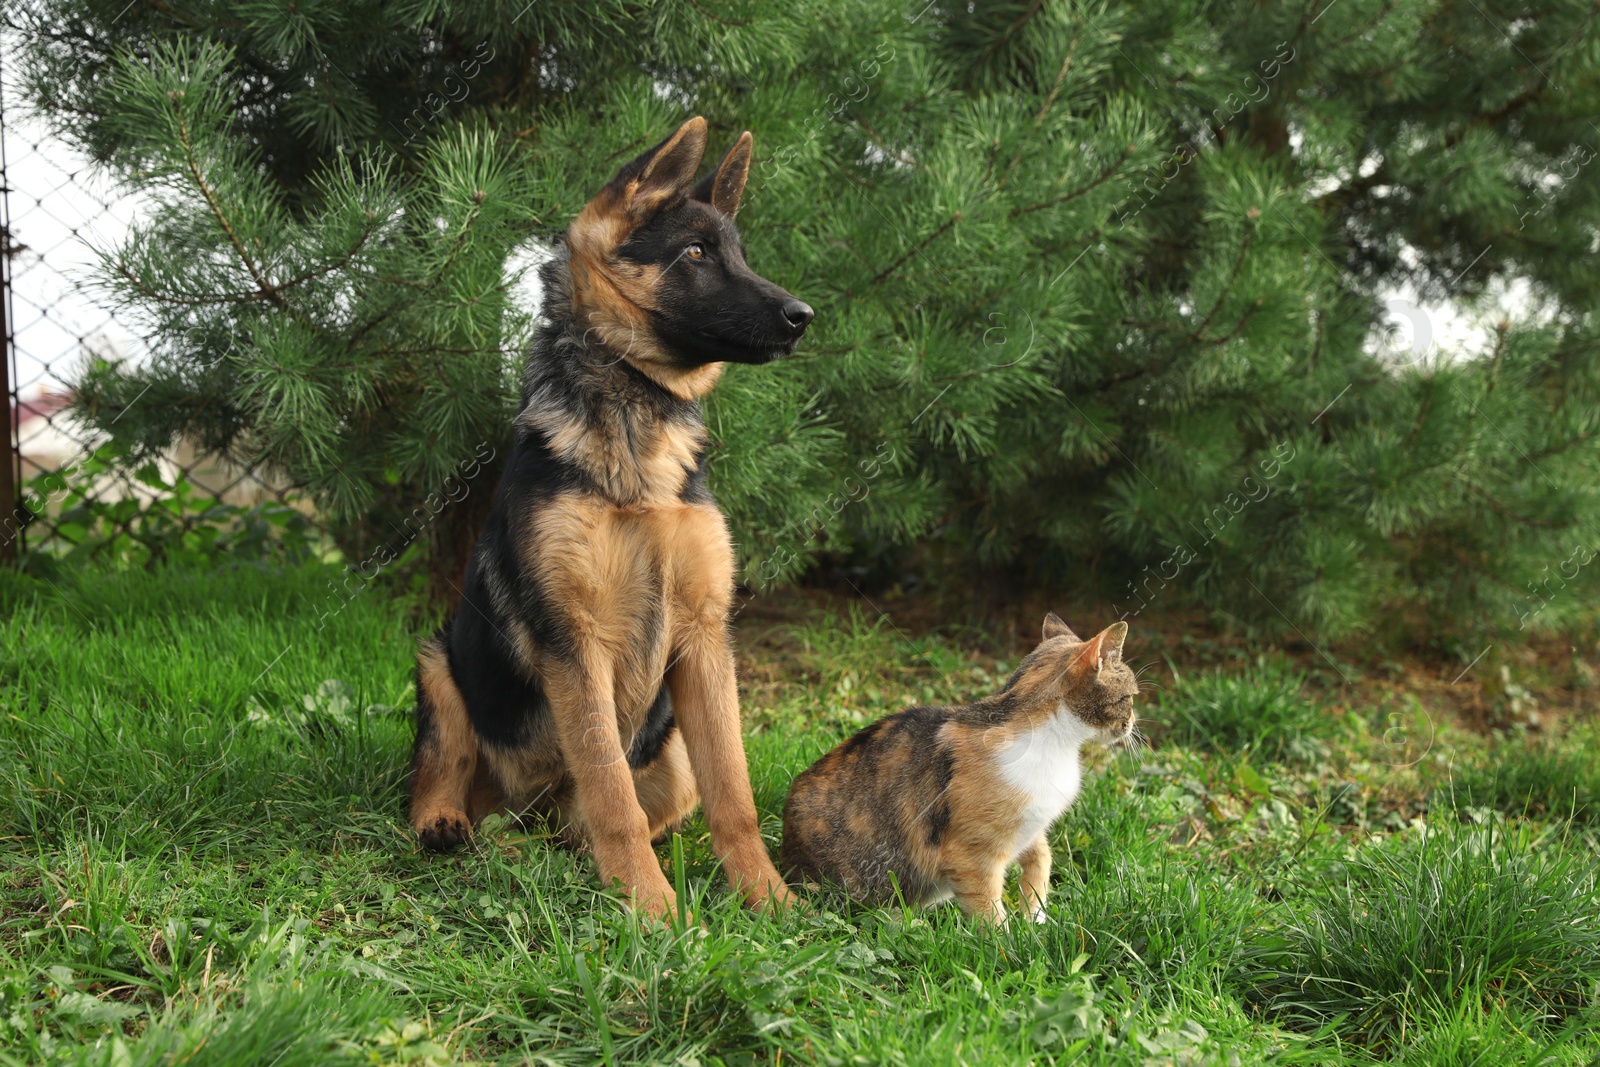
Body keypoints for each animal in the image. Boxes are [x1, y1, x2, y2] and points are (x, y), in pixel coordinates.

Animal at [409, 116, 812, 921]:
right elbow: (610, 789)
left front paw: (768, 896)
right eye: (695, 254)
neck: (634, 408)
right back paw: (450, 822)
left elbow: (735, 795)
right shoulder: (575, 641)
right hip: (437, 663)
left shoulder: (705, 639)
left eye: (740, 255)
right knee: (448, 768)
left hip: (673, 750)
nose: (804, 316)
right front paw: (651, 906)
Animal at [777, 617, 1139, 927]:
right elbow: (989, 914)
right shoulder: (970, 856)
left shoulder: (1033, 823)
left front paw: (1035, 916)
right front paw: (1010, 949)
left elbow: (1042, 858)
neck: (1055, 746)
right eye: (1131, 697)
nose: (1133, 723)